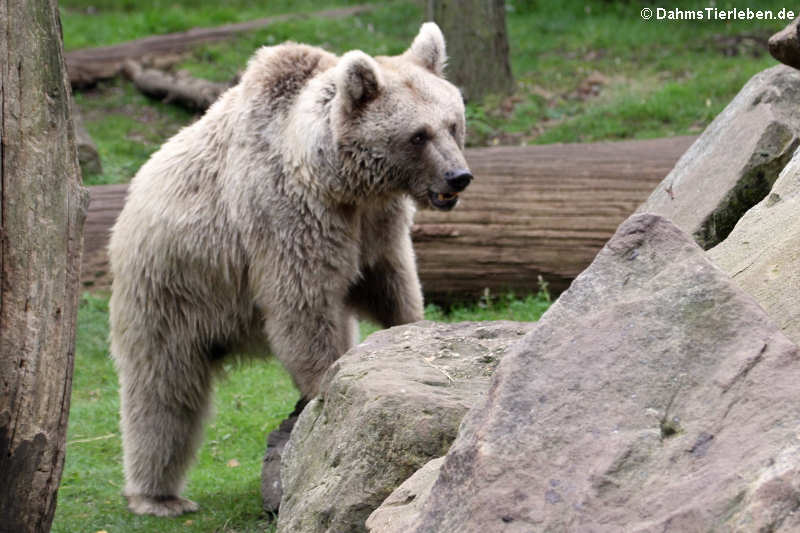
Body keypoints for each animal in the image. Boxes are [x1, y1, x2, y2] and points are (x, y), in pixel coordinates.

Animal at [106, 21, 468, 516]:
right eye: (418, 135)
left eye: (453, 123)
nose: (458, 177)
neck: (339, 182)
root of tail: (132, 194)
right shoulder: (288, 219)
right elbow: (302, 306)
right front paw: (322, 387)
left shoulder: (378, 228)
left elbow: (392, 286)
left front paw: (407, 333)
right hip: (170, 287)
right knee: (163, 390)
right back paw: (158, 495)